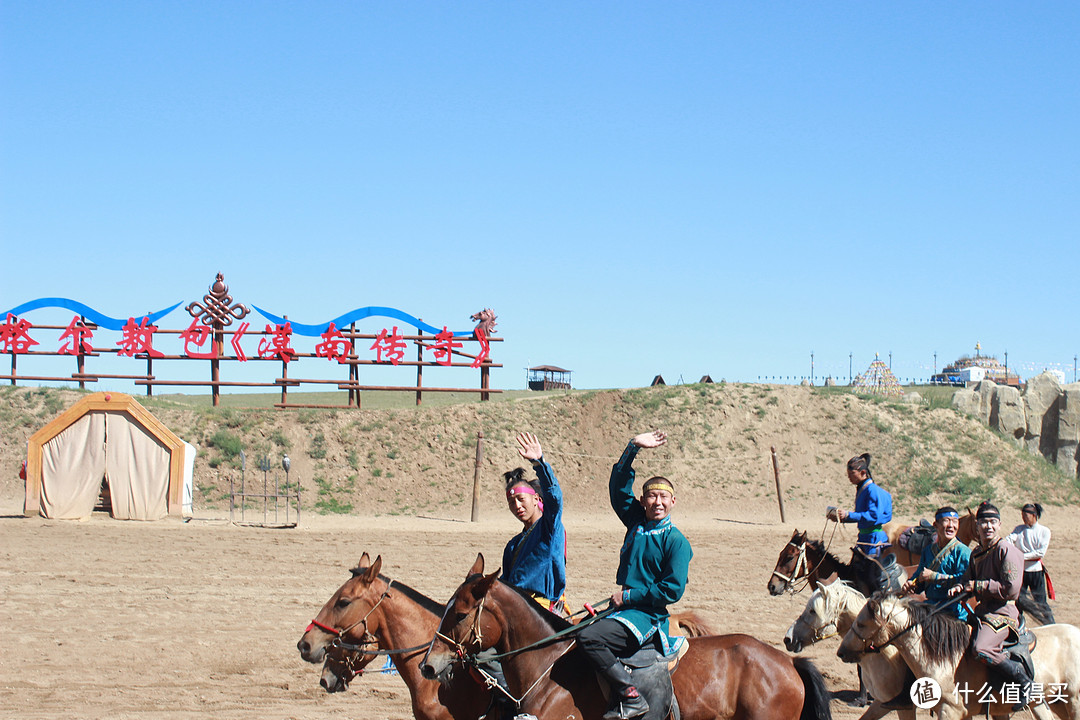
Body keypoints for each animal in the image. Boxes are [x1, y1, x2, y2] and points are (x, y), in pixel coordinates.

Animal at [833, 591, 1080, 720]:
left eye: (861, 624)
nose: (841, 651)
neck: (945, 661)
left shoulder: (949, 711)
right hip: (1054, 702)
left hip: (1073, 700)